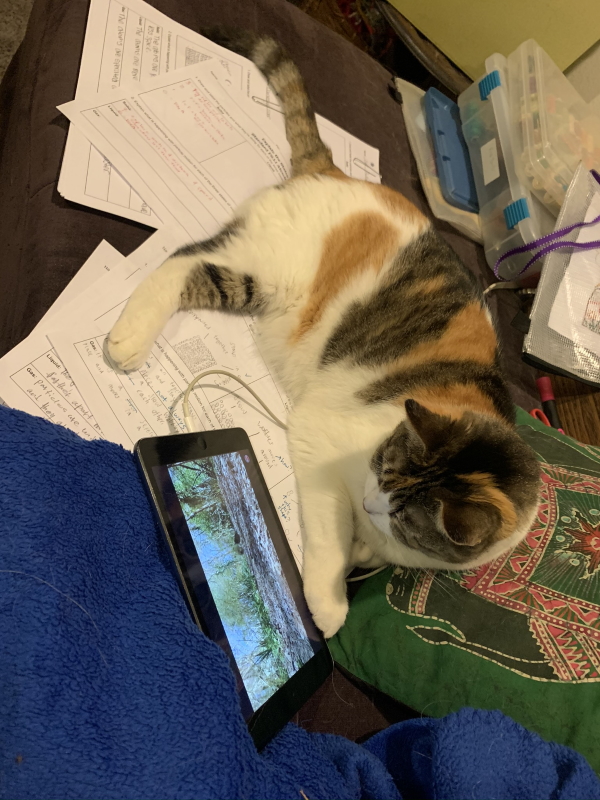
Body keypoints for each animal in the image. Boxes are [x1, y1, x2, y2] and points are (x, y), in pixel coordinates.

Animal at [107, 30, 541, 638]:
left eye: (407, 517)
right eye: (383, 467)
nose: (371, 502)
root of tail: (339, 173)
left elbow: (364, 548)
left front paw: (363, 551)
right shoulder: (321, 442)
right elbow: (333, 537)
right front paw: (330, 603)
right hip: (273, 268)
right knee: (184, 258)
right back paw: (128, 340)